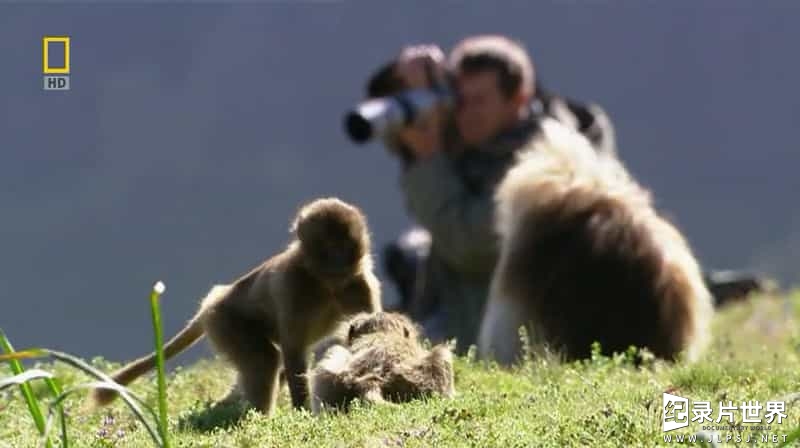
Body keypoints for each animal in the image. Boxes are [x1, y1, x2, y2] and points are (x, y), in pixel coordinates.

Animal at [90, 198, 384, 414]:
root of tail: (214, 299)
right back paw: (259, 418)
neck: (326, 283)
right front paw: (303, 412)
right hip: (225, 322)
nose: (339, 261)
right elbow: (294, 348)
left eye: (344, 245)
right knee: (265, 360)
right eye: (329, 247)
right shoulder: (292, 284)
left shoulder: (361, 283)